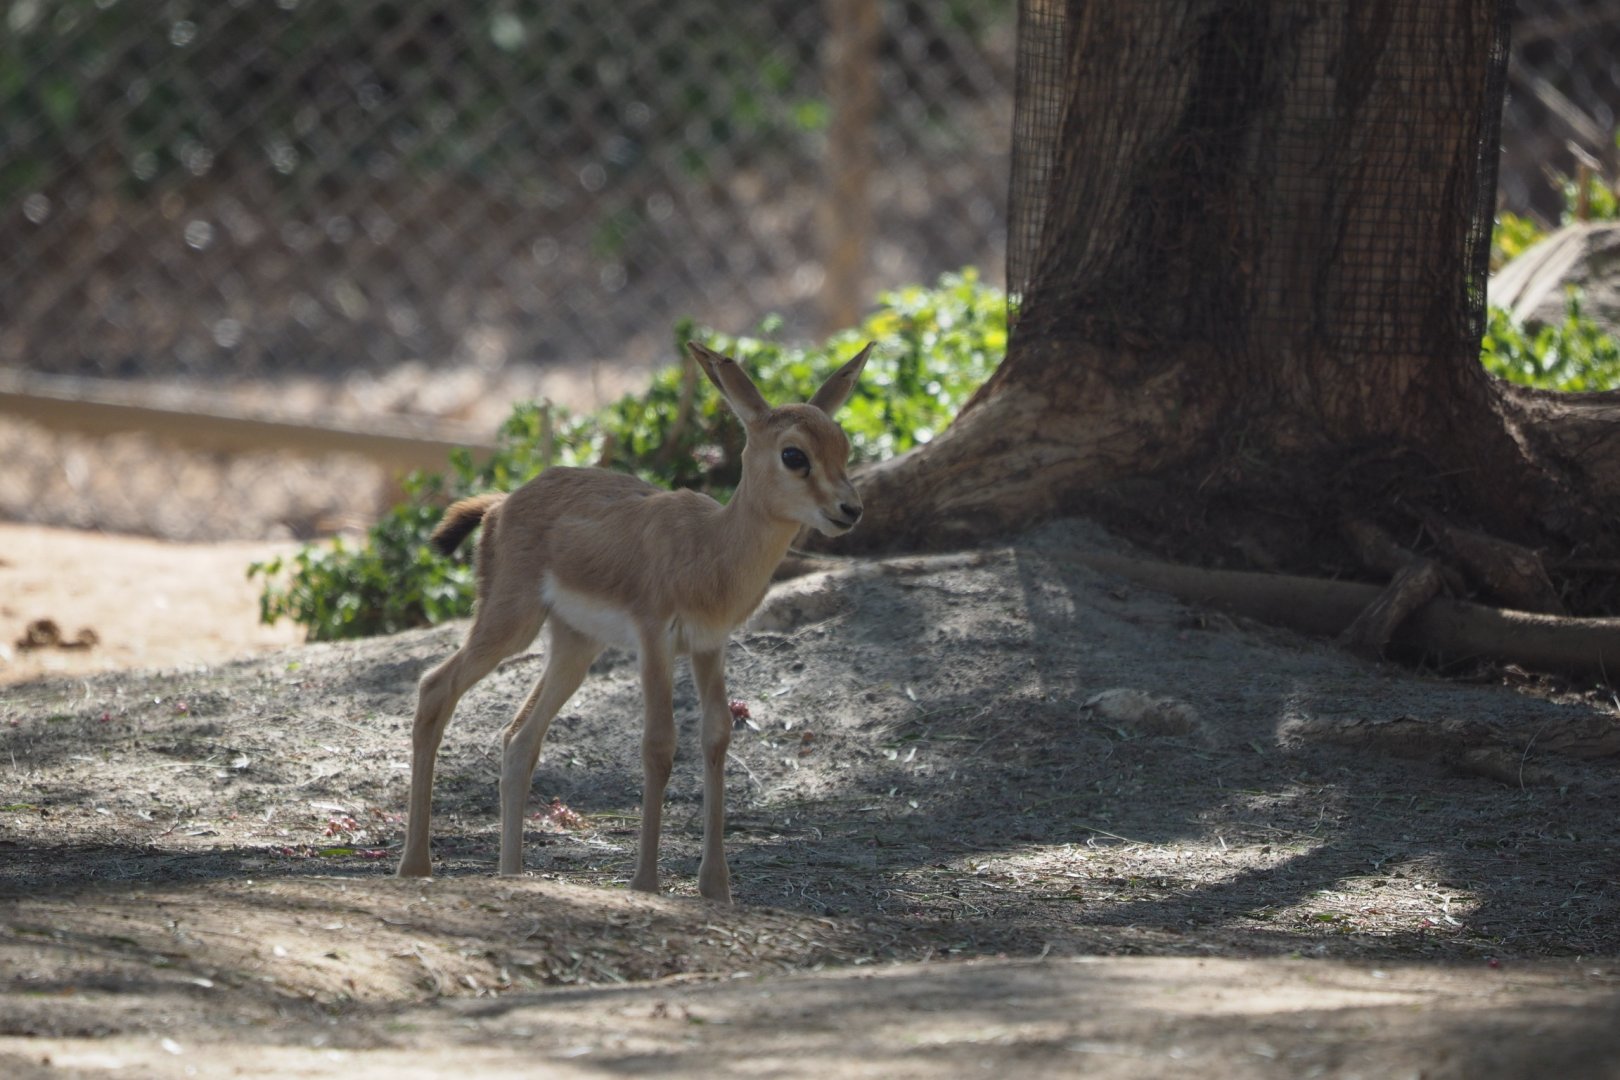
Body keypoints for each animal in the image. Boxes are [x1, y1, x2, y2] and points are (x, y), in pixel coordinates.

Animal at [395, 340, 872, 904]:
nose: (850, 510)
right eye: (794, 454)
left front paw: (716, 888)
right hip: (510, 624)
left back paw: (511, 875)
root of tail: (501, 505)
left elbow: (716, 736)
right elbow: (659, 745)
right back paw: (415, 867)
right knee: (435, 686)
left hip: (575, 647)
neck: (712, 548)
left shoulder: (709, 646)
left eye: (844, 444)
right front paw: (645, 883)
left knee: (519, 739)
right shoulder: (654, 642)